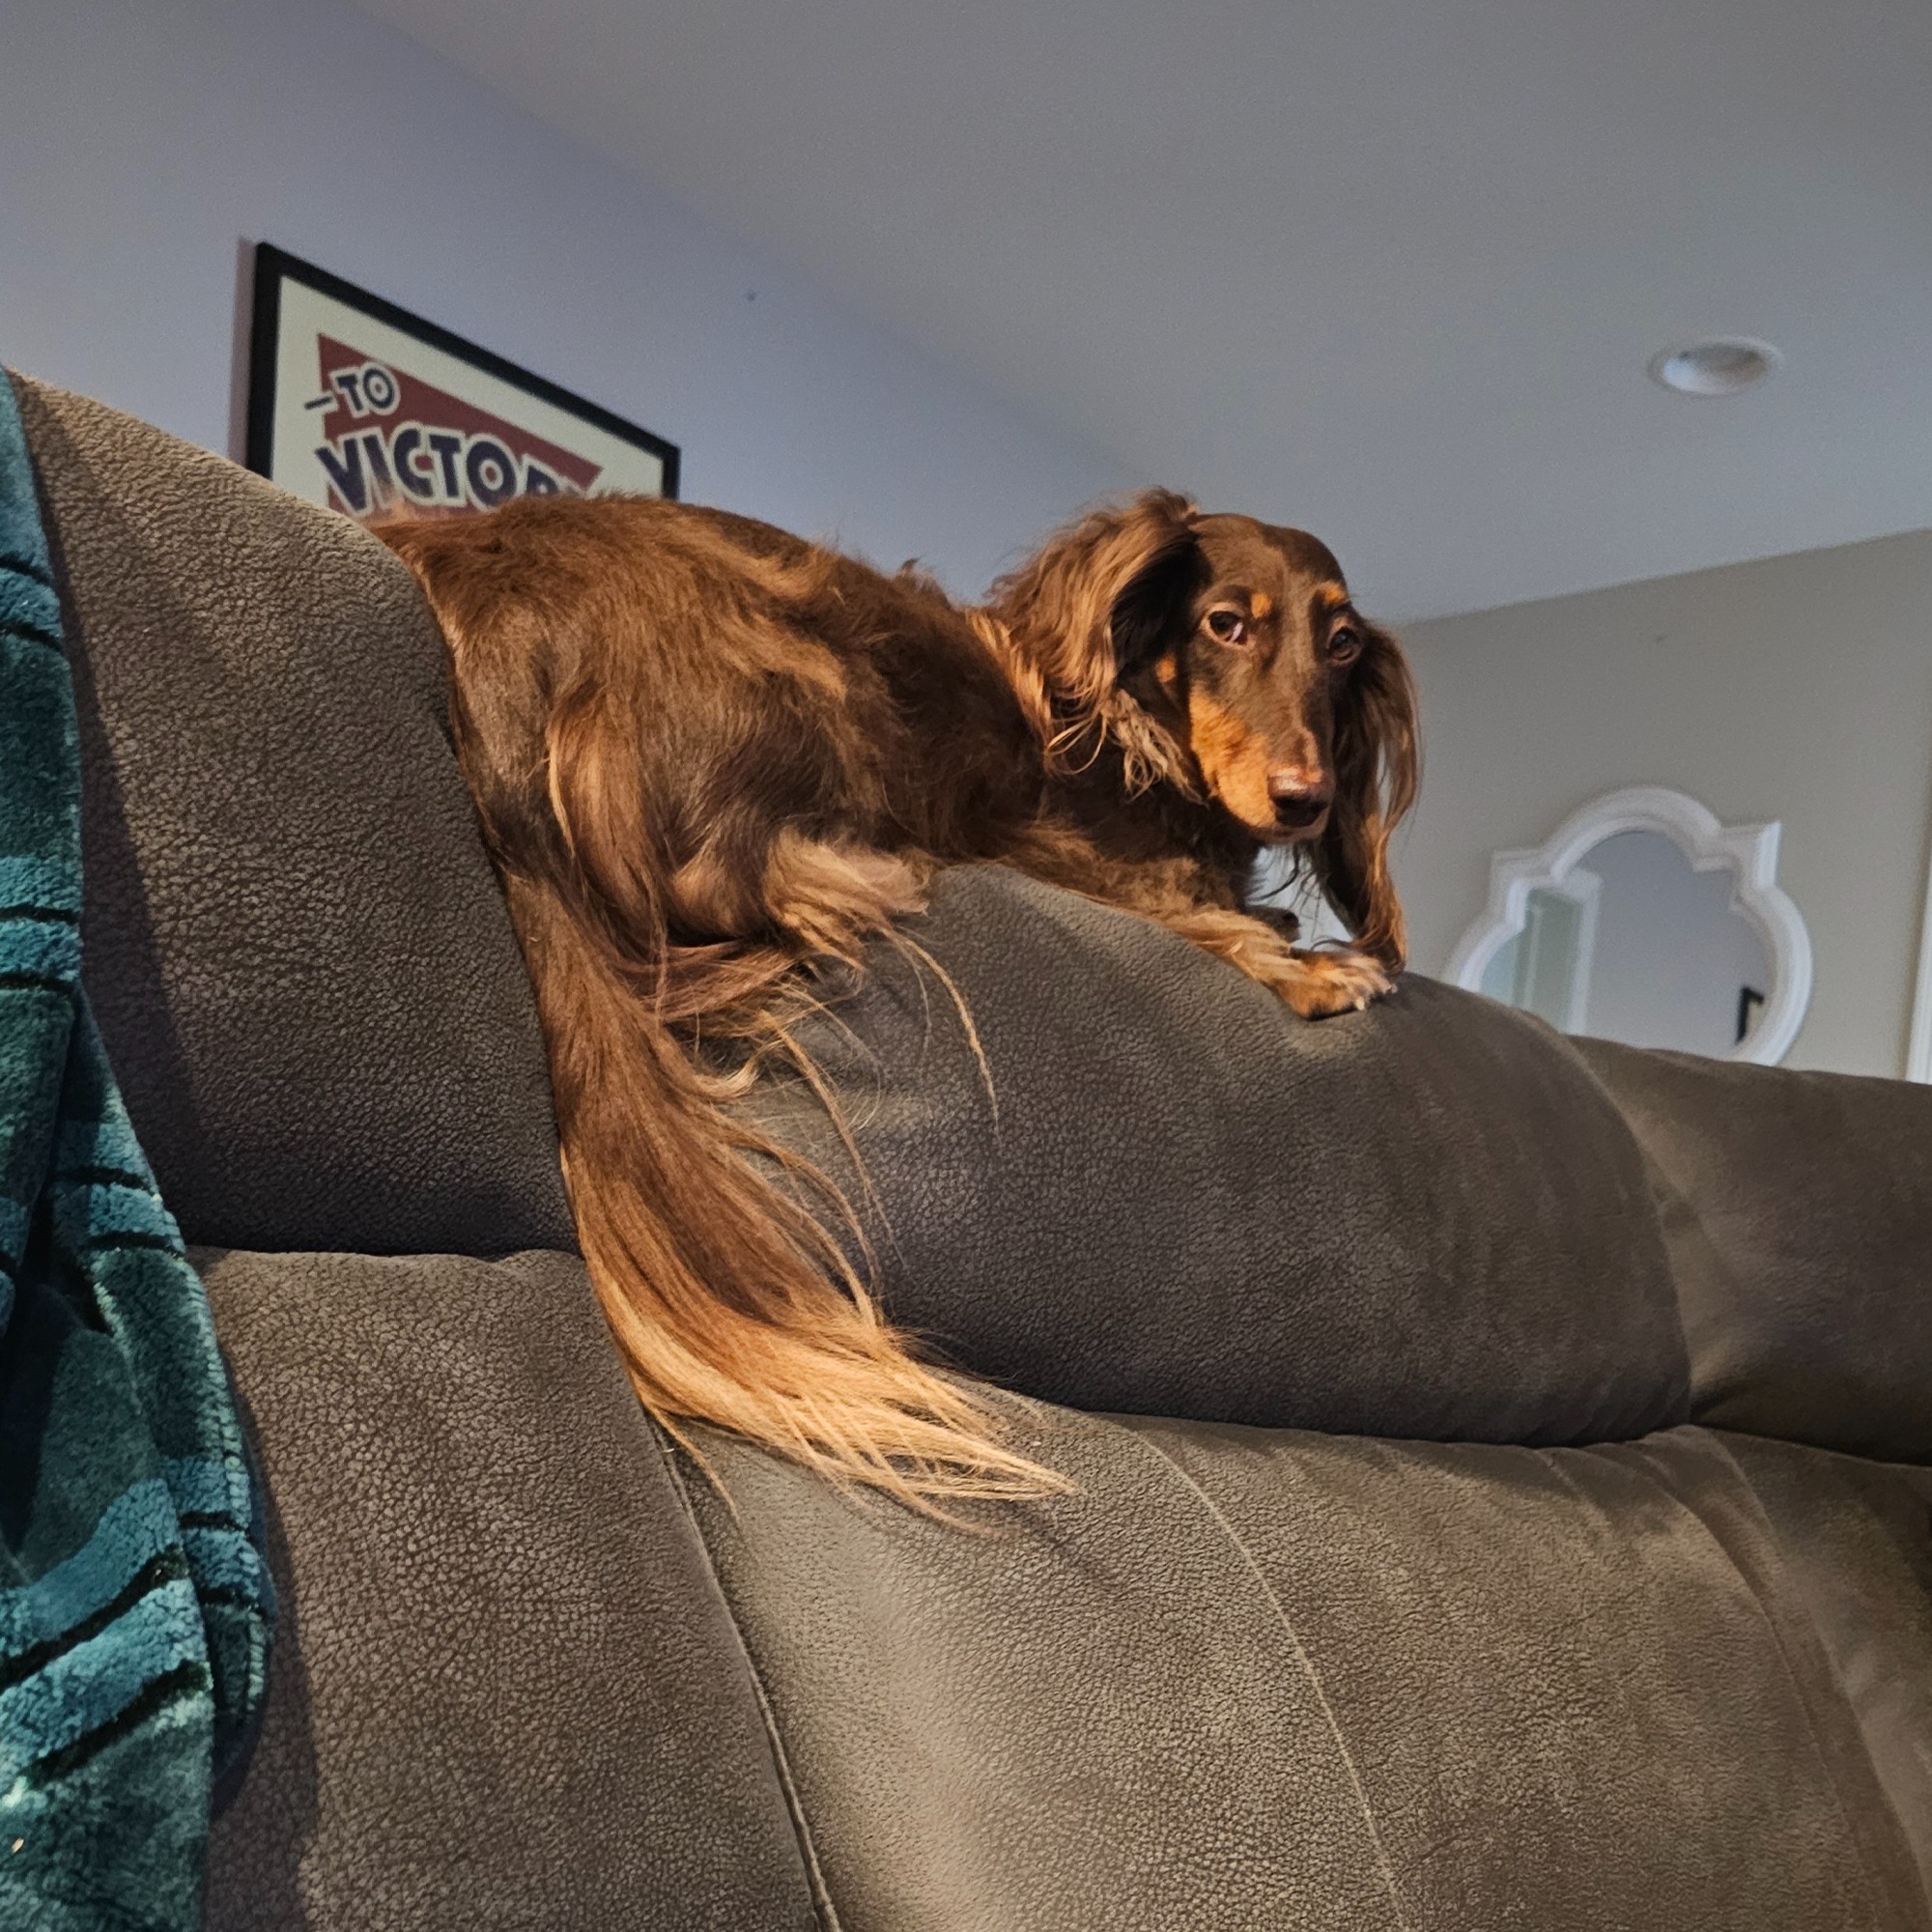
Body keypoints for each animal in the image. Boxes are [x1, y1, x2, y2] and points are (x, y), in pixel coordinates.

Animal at [379, 488, 1418, 1508]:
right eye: (1225, 623)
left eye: (1341, 645)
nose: (1305, 799)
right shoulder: (1059, 847)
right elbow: (1186, 909)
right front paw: (1310, 963)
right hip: (811, 658)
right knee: (718, 879)